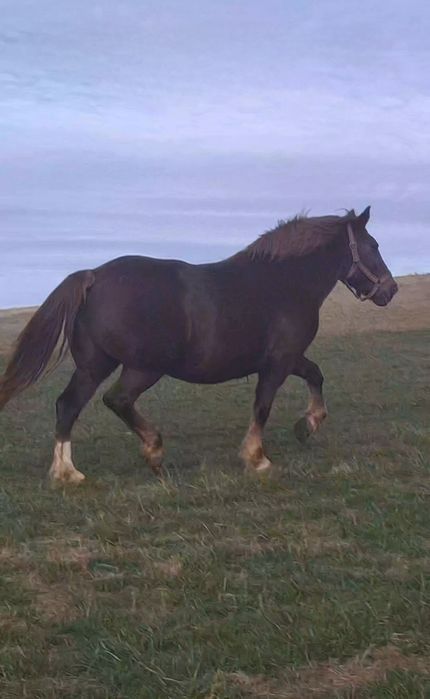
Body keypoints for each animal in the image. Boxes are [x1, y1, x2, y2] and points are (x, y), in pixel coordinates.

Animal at [0, 206, 398, 483]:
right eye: (373, 246)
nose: (391, 290)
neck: (283, 282)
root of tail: (94, 276)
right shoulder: (278, 362)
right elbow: (263, 405)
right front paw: (257, 458)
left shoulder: (289, 357)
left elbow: (316, 375)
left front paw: (307, 425)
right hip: (143, 367)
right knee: (116, 400)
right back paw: (152, 450)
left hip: (95, 365)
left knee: (68, 405)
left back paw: (67, 472)